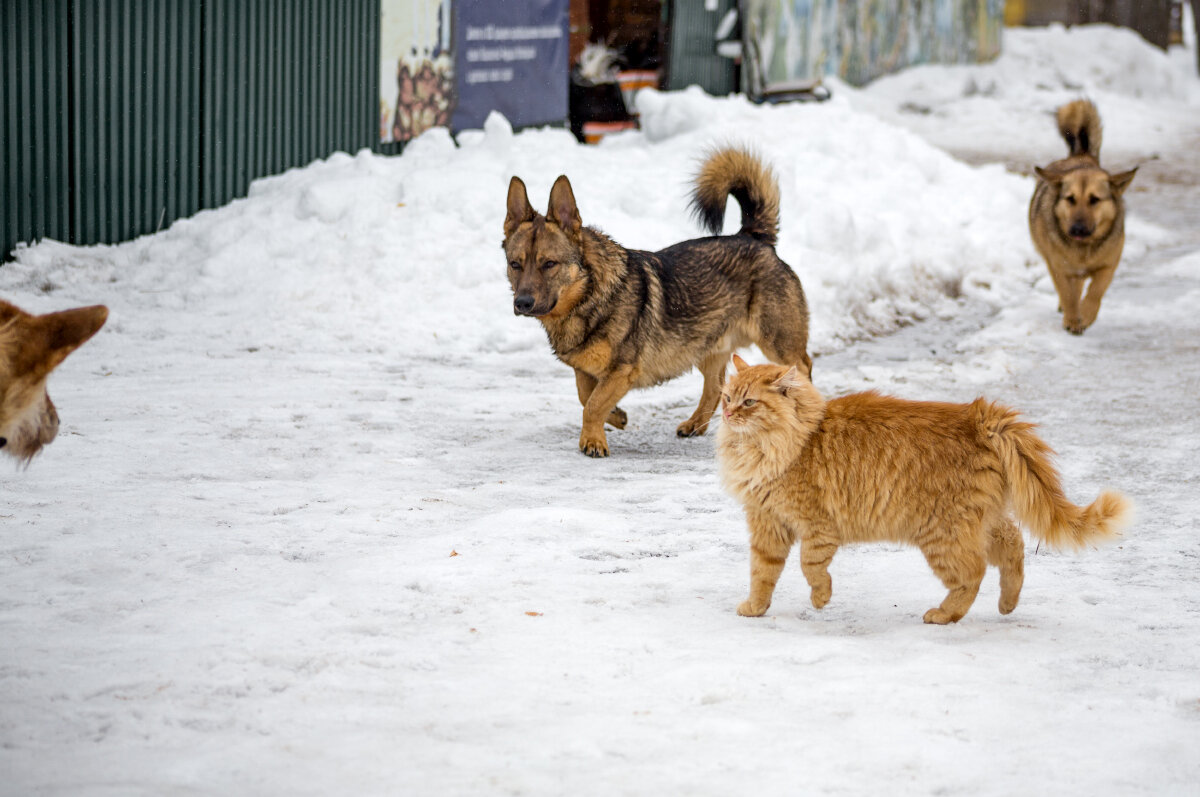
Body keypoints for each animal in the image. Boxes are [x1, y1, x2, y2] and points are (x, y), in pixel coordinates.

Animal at [501, 147, 811, 458]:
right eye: (515, 264)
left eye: (549, 264)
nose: (523, 303)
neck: (589, 297)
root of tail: (754, 237)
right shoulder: (585, 371)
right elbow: (586, 398)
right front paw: (616, 416)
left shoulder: (622, 370)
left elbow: (592, 405)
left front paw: (593, 441)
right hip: (705, 347)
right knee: (715, 387)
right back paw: (696, 424)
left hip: (776, 343)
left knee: (802, 368)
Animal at [715, 355, 1128, 624]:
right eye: (727, 397)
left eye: (749, 402)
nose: (729, 414)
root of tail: (980, 417)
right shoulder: (767, 524)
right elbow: (762, 573)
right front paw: (756, 608)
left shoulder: (817, 527)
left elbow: (811, 566)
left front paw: (820, 598)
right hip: (979, 522)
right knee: (1013, 545)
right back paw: (1007, 604)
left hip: (942, 533)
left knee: (974, 572)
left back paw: (944, 614)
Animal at [1027, 100, 1137, 336]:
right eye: (1070, 199)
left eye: (1095, 200)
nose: (1076, 229)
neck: (1084, 250)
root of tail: (1080, 156)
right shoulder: (1058, 266)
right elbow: (1068, 293)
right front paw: (1072, 319)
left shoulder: (1109, 264)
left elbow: (1096, 291)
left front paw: (1086, 315)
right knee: (1071, 289)